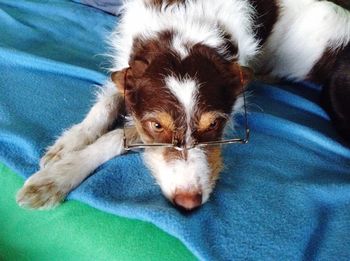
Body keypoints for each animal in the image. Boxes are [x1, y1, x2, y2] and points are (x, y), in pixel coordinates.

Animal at [17, 0, 350, 210]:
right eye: (156, 125)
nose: (189, 203)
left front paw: (60, 175)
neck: (182, 28)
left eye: (214, 124)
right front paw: (69, 144)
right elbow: (105, 106)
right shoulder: (128, 73)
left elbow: (116, 136)